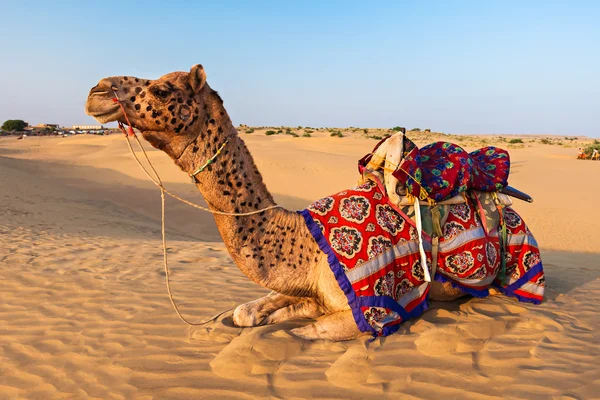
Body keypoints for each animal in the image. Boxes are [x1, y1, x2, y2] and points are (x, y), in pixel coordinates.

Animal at [84, 65, 536, 340]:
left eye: (161, 89)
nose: (95, 90)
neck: (304, 241)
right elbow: (247, 313)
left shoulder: (368, 312)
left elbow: (304, 329)